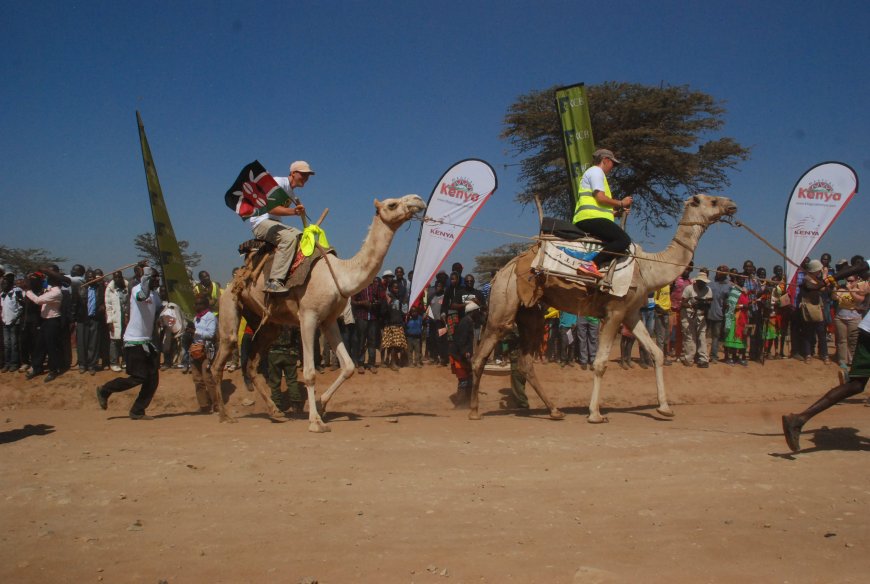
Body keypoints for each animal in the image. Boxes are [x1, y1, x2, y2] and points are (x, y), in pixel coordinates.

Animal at [212, 194, 430, 432]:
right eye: (392, 204)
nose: (418, 200)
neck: (340, 275)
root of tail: (236, 278)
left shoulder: (329, 320)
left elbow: (349, 366)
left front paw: (323, 404)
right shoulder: (309, 316)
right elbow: (309, 372)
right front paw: (316, 421)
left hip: (268, 324)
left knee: (251, 364)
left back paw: (275, 412)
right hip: (229, 303)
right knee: (221, 357)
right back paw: (224, 415)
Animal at [470, 196, 736, 424]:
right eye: (712, 200)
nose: (732, 205)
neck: (648, 269)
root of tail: (503, 270)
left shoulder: (631, 313)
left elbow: (657, 353)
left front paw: (665, 408)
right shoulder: (614, 312)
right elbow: (600, 363)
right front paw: (595, 414)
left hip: (531, 313)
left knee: (525, 361)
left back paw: (555, 410)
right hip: (504, 305)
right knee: (480, 354)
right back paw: (474, 410)